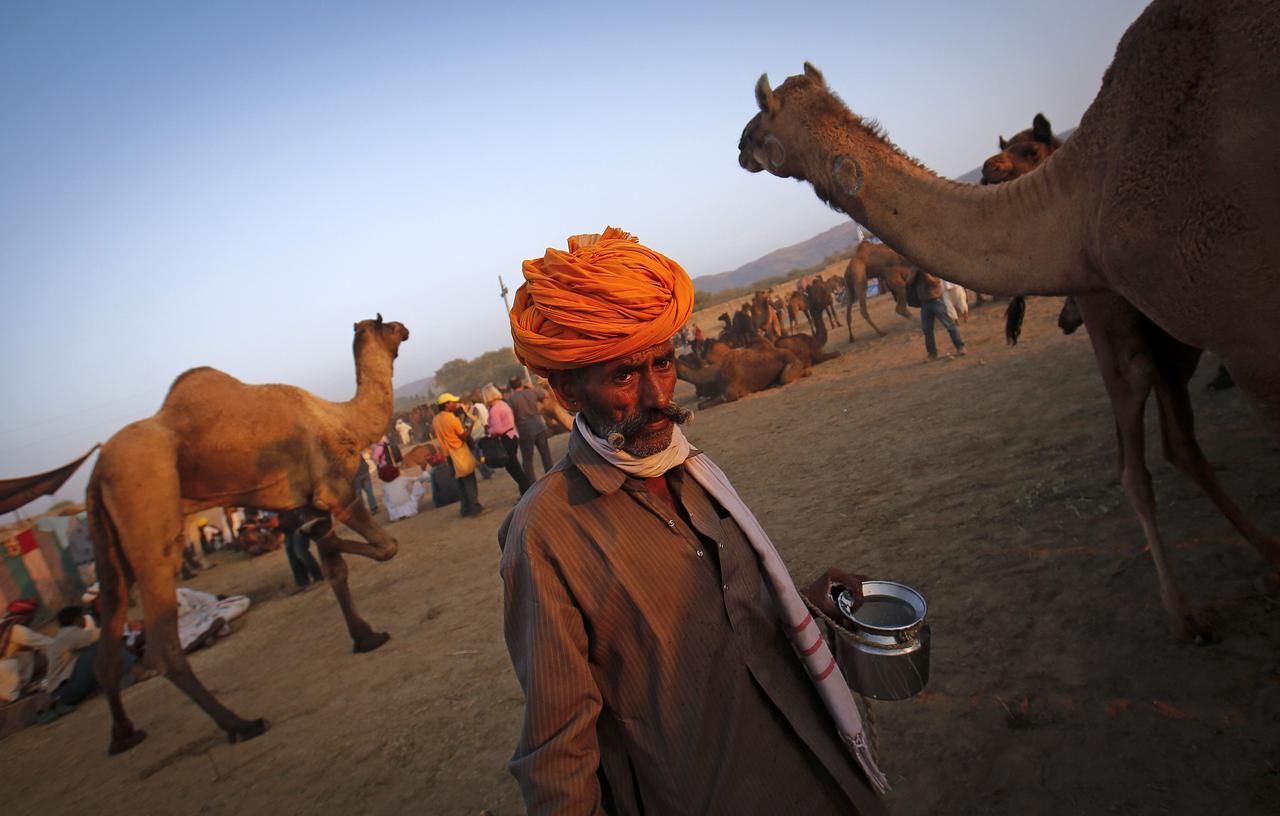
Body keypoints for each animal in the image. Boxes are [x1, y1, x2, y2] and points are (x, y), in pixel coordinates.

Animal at [86, 313, 409, 757]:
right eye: (389, 326)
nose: (406, 327)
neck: (339, 419)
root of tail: (97, 471)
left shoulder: (309, 497)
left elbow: (335, 570)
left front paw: (366, 637)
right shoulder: (333, 490)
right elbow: (385, 546)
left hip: (105, 541)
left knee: (109, 625)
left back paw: (124, 735)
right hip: (150, 522)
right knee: (162, 643)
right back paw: (241, 724)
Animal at [675, 342, 803, 409]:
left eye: (690, 356)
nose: (680, 356)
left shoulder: (731, 392)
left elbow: (723, 397)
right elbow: (701, 405)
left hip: (791, 361)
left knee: (786, 377)